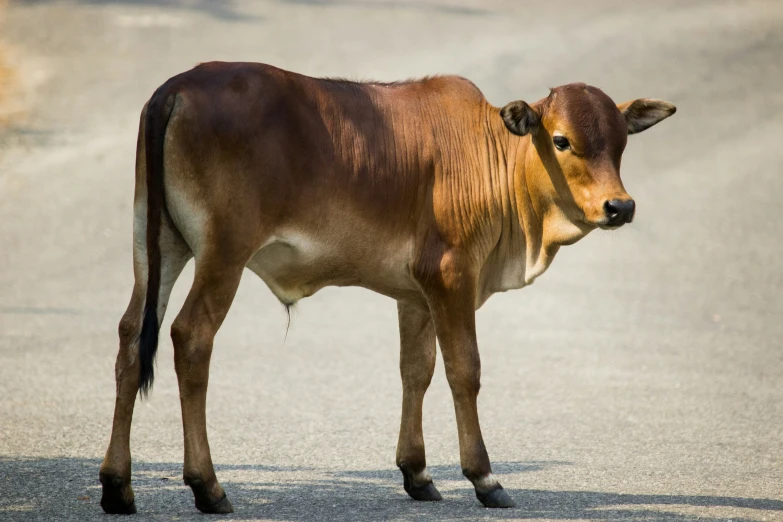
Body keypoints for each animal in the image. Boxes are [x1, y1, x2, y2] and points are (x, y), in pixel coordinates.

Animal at [96, 62, 672, 512]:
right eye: (561, 140)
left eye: (621, 143)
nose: (620, 206)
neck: (492, 157)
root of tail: (177, 86)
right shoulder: (452, 276)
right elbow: (464, 371)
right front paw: (484, 477)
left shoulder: (415, 294)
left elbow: (416, 371)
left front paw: (417, 473)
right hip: (223, 254)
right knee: (191, 338)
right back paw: (208, 486)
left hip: (156, 245)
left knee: (130, 338)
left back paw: (117, 486)